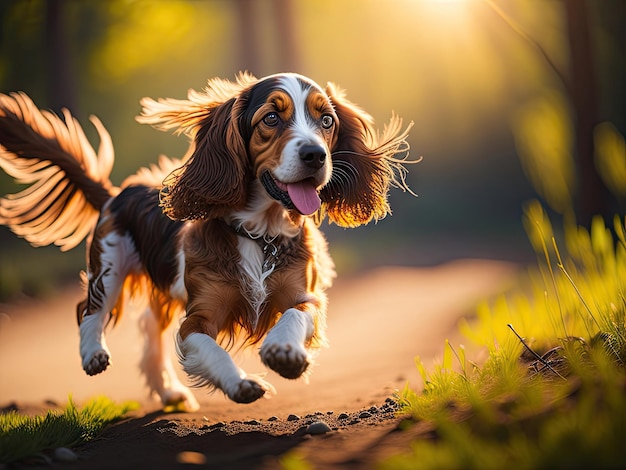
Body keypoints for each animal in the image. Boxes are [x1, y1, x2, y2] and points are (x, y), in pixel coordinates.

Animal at [0, 71, 414, 410]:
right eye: (271, 117)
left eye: (326, 120)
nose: (316, 155)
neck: (259, 234)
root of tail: (116, 192)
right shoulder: (198, 317)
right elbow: (209, 349)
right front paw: (240, 383)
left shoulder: (304, 295)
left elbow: (295, 315)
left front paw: (284, 351)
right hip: (109, 265)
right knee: (90, 311)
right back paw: (93, 355)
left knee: (148, 330)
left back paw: (168, 392)